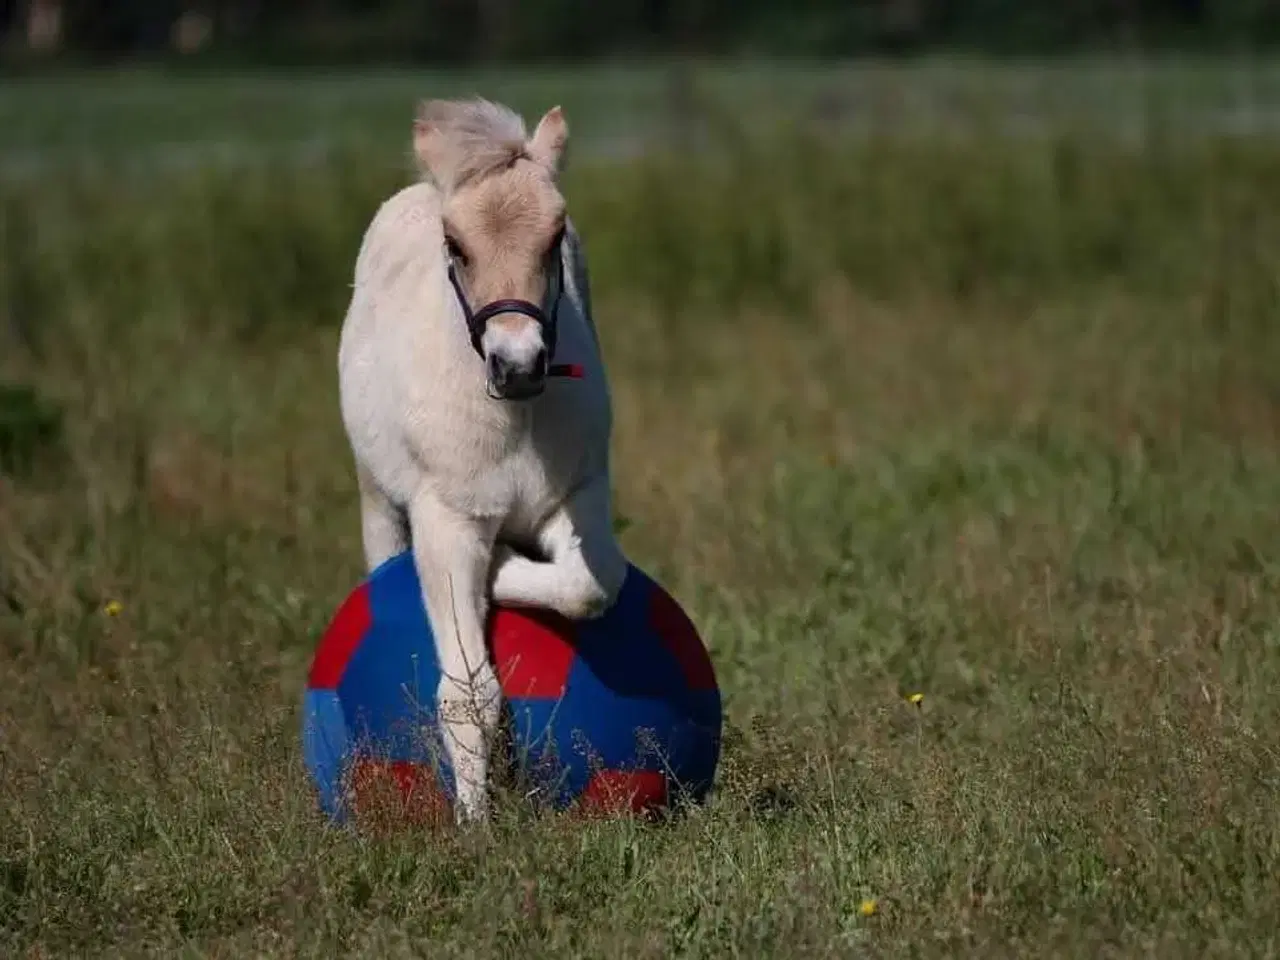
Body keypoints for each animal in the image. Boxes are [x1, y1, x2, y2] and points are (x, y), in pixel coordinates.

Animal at [336, 98, 628, 824]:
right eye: (456, 246)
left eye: (555, 238)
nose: (518, 363)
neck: (515, 417)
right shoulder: (448, 516)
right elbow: (467, 691)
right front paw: (476, 830)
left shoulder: (576, 493)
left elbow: (593, 583)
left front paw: (501, 566)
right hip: (374, 491)